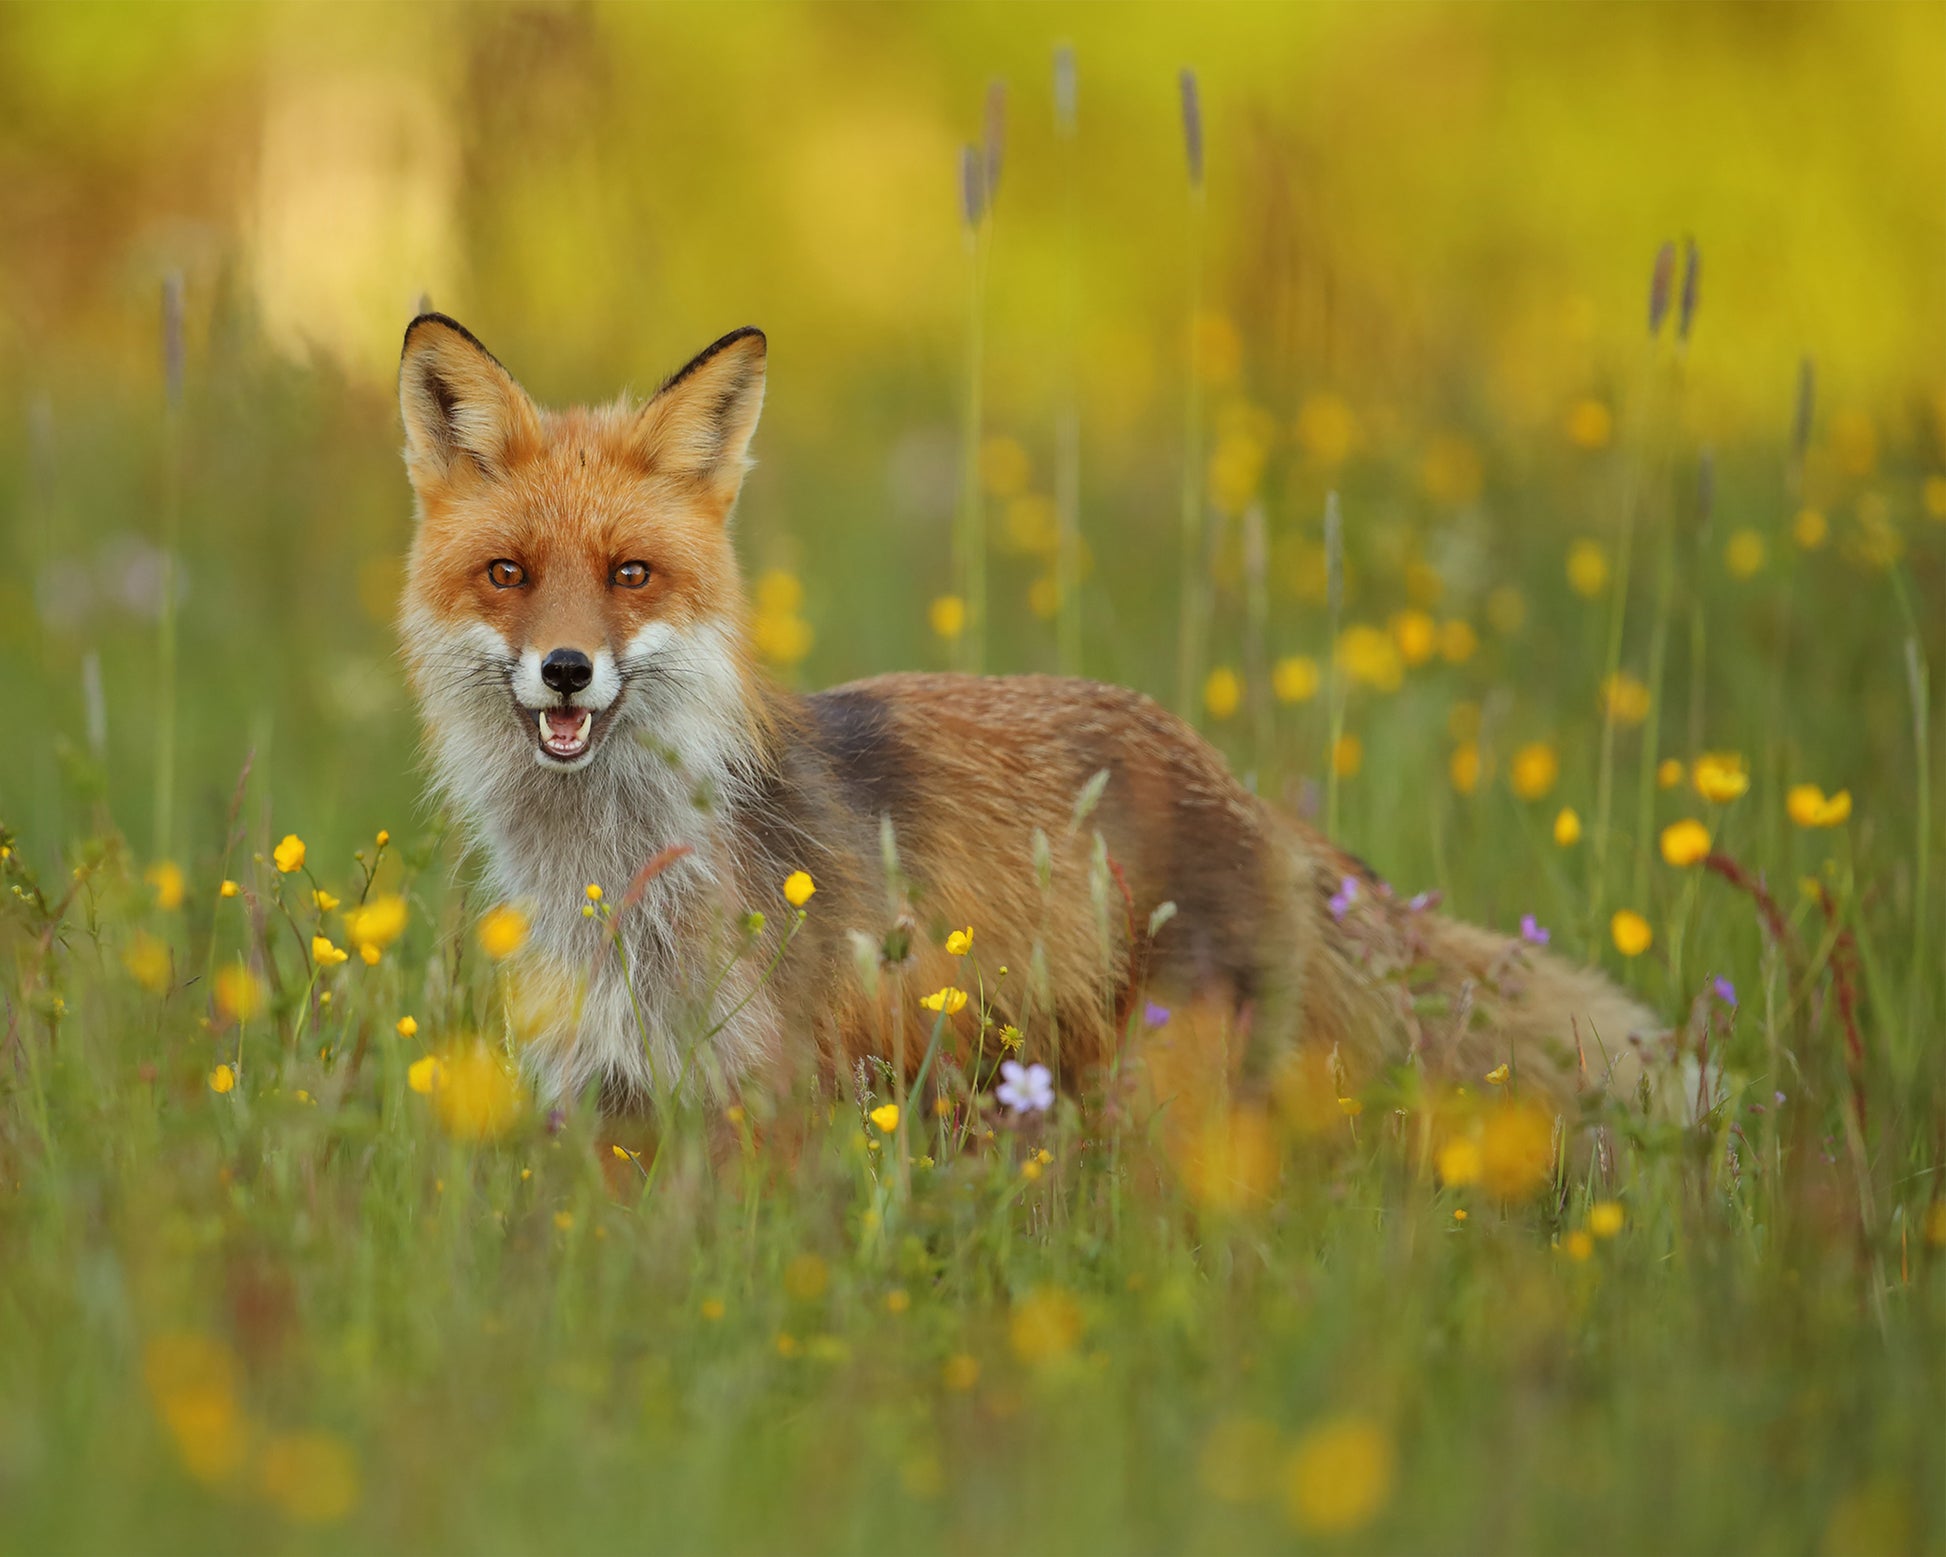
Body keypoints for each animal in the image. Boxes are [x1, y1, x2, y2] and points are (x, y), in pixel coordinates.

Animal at [396, 313, 1668, 1142]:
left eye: (630, 574)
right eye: (508, 574)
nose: (567, 672)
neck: (624, 881)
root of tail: (1237, 788)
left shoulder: (766, 1099)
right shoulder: (606, 1101)